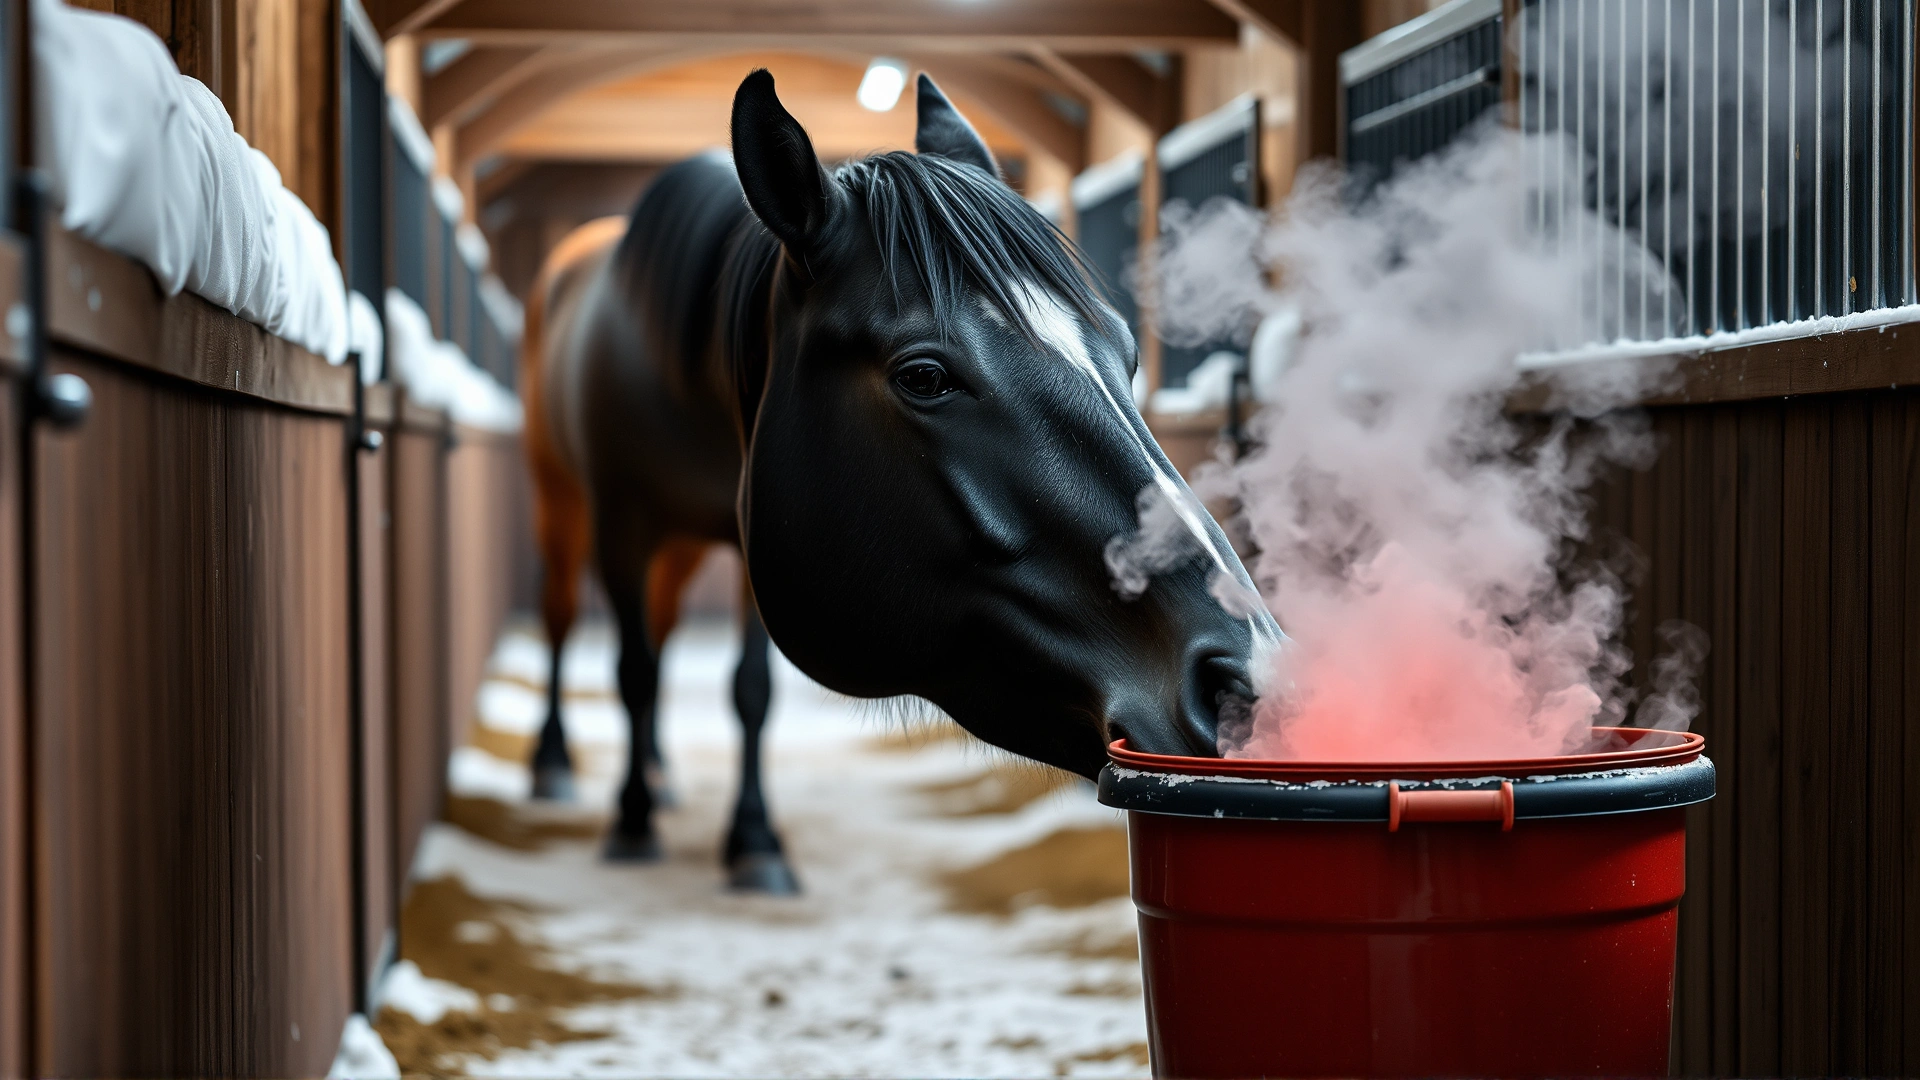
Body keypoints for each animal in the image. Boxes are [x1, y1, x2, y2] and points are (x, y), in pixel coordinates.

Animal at [520, 69, 1278, 893]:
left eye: (1128, 354)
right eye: (925, 377)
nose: (1247, 684)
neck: (681, 363)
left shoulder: (755, 533)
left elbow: (746, 689)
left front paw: (752, 840)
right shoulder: (624, 520)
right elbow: (630, 670)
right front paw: (631, 822)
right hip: (563, 503)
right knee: (568, 619)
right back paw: (562, 767)